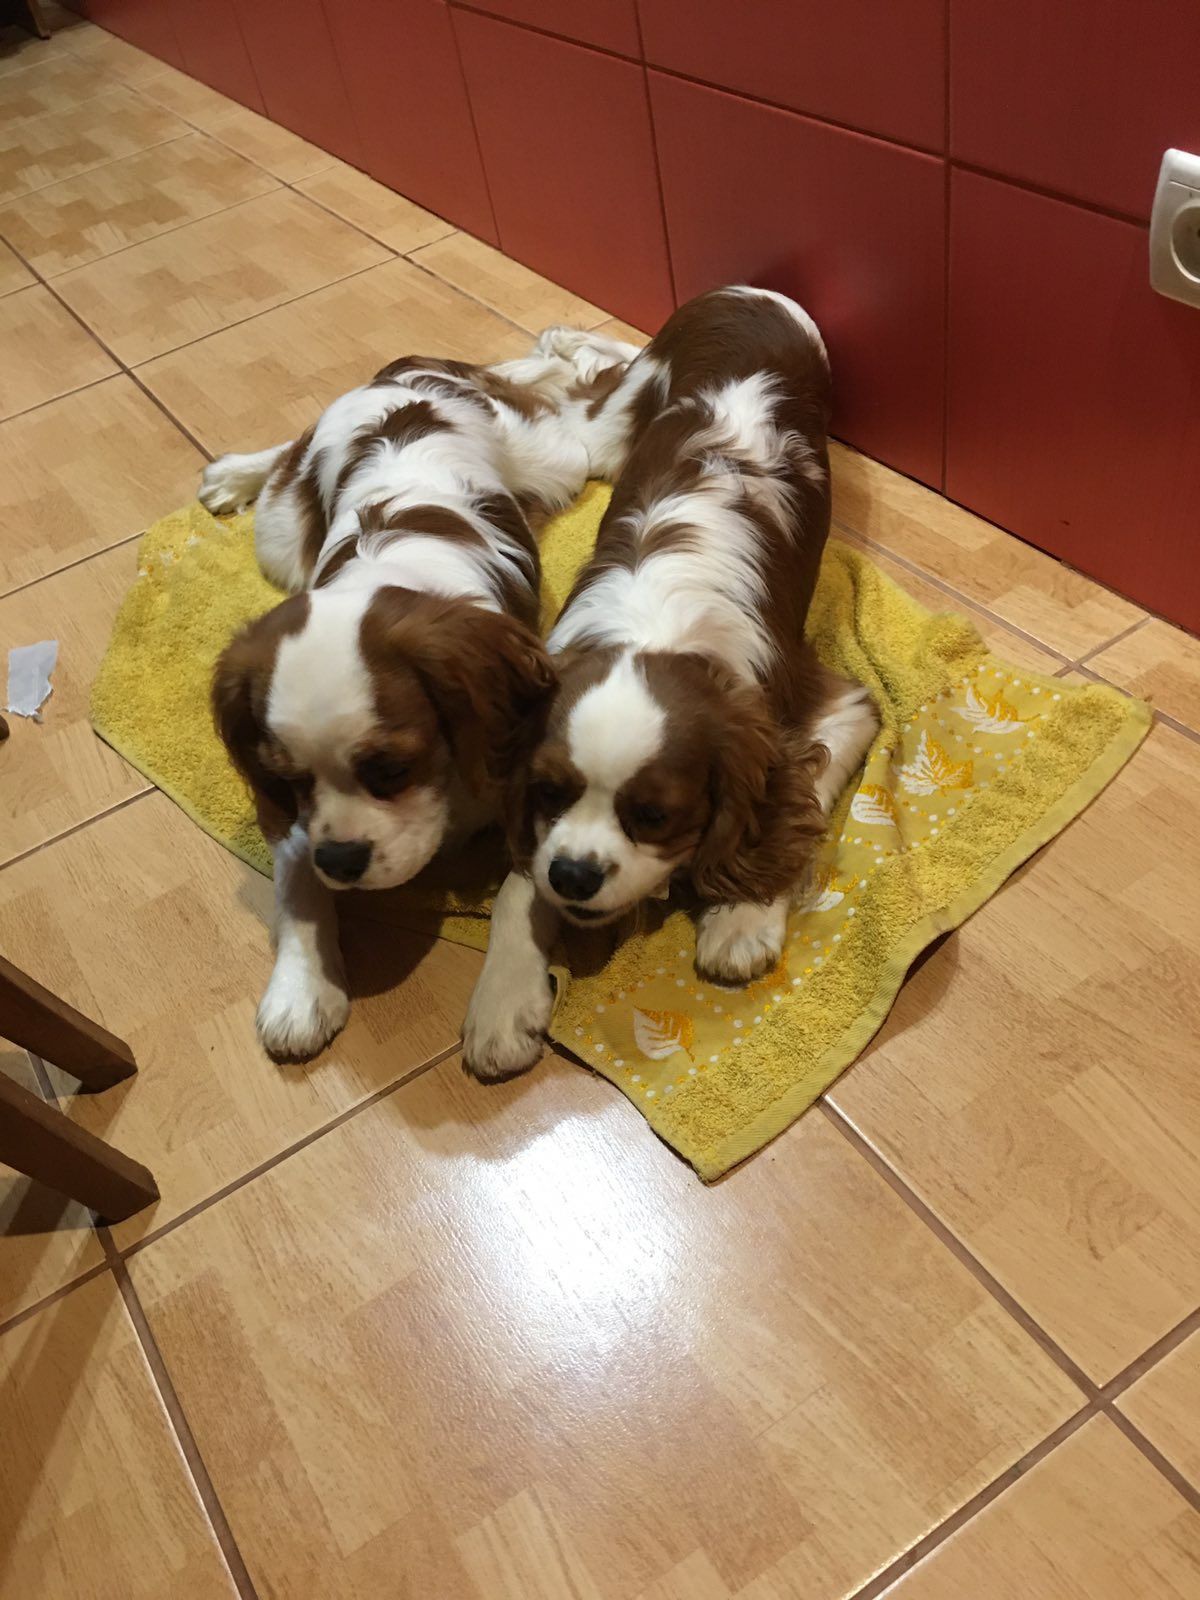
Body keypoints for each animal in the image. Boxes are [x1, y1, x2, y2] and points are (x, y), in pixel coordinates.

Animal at [212, 324, 649, 1056]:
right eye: (289, 780)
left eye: (392, 768)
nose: (343, 860)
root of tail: (406, 375)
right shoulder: (296, 819)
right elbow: (297, 886)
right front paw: (301, 989)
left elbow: (519, 893)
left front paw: (504, 1002)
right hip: (279, 535)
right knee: (286, 458)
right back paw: (234, 472)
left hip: (559, 459)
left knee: (560, 385)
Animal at [464, 289, 876, 1088]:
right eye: (550, 791)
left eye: (653, 815)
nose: (573, 875)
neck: (656, 635)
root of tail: (749, 293)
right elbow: (518, 887)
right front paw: (503, 998)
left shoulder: (836, 707)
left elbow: (800, 797)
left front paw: (741, 916)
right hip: (609, 429)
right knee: (588, 382)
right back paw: (546, 347)